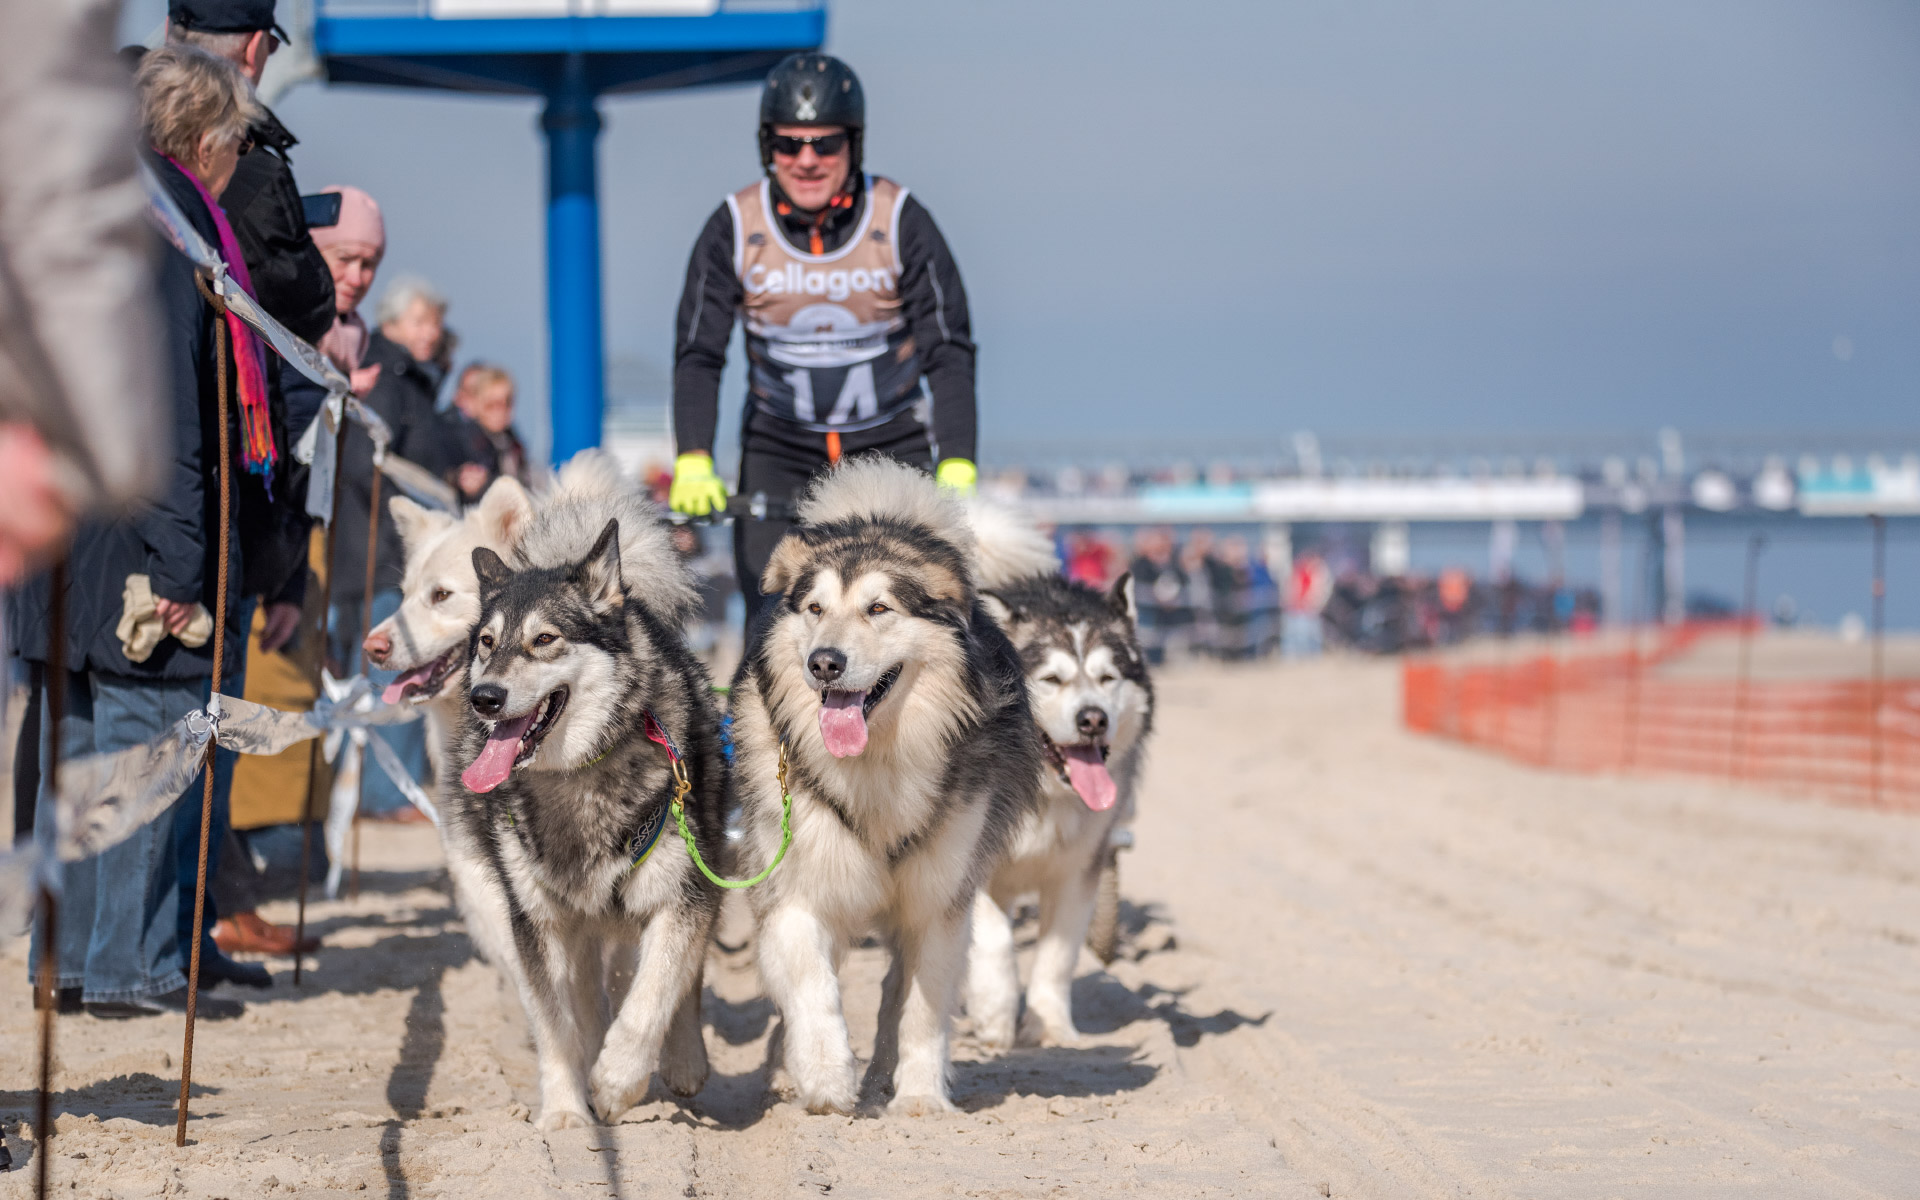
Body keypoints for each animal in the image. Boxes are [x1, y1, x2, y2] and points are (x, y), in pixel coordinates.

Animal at [728, 457, 1042, 1115]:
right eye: (815, 608)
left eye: (879, 609)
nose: (825, 663)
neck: (876, 767)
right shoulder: (795, 881)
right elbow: (811, 986)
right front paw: (825, 1078)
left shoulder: (939, 898)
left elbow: (921, 1007)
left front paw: (919, 1098)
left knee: (897, 988)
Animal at [964, 503, 1154, 1048]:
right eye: (1051, 679)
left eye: (1108, 677)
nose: (1093, 719)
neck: (1044, 796)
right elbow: (995, 940)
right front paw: (994, 1015)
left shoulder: (1077, 873)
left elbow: (1056, 958)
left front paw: (1052, 1028)